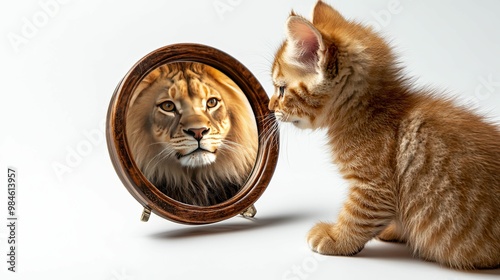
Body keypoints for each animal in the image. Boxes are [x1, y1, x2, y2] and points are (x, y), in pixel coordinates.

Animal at [270, 1, 500, 270]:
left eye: (281, 89)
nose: (270, 107)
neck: (371, 110)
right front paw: (394, 230)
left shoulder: (374, 186)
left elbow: (357, 217)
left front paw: (336, 238)